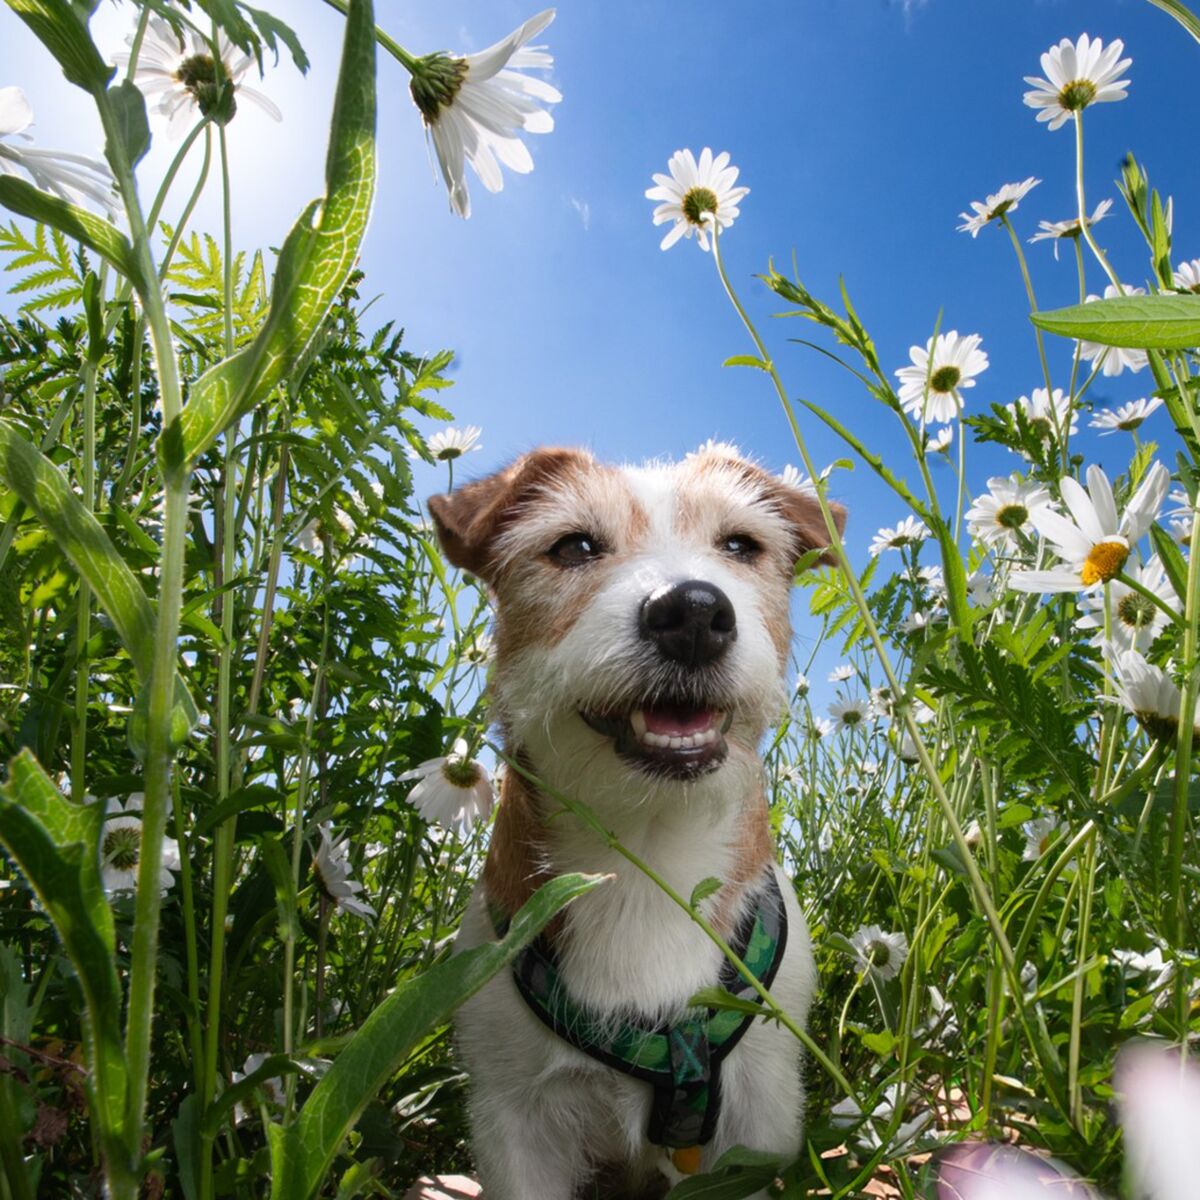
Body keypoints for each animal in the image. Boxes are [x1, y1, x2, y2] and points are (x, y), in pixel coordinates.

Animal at [429, 444, 844, 1200]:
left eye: (741, 545)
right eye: (573, 546)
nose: (694, 611)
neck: (650, 854)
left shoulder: (759, 1119)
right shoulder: (515, 1119)